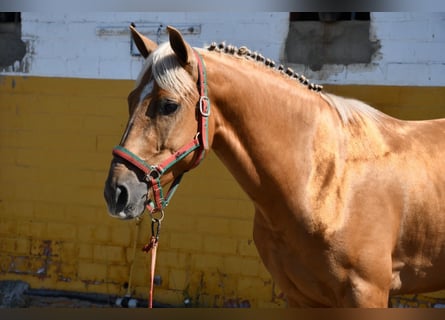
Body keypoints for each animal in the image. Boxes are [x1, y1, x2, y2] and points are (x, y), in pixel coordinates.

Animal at [105, 25, 444, 308]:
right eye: (130, 99)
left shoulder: (367, 295)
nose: (116, 192)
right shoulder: (301, 298)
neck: (325, 182)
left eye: (169, 105)